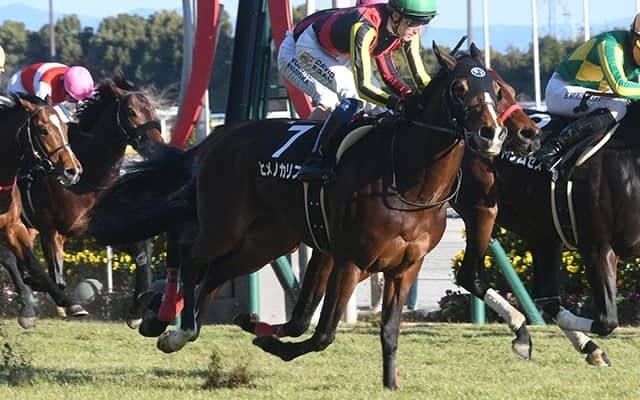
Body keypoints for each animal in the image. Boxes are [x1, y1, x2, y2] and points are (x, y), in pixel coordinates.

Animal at [0, 92, 83, 328]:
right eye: (43, 130)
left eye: (65, 127)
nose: (73, 170)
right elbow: (12, 259)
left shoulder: (13, 226)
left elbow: (33, 263)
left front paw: (68, 302)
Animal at [19, 74, 164, 325]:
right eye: (132, 112)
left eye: (152, 109)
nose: (158, 145)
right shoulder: (51, 231)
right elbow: (55, 277)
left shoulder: (97, 227)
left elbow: (141, 254)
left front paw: (137, 310)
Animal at [90, 42, 511, 389]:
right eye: (459, 89)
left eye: (497, 89)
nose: (491, 134)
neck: (409, 182)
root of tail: (214, 140)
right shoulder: (350, 258)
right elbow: (323, 332)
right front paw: (270, 341)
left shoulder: (405, 267)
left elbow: (389, 330)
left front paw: (391, 384)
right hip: (224, 225)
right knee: (190, 256)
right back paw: (173, 326)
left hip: (265, 241)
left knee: (215, 272)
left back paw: (179, 325)